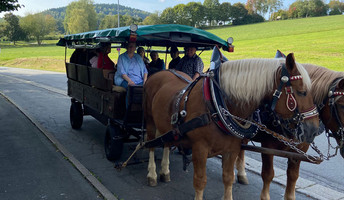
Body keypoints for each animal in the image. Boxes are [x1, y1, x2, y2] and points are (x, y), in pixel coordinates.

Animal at [143, 53, 320, 200]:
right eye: (302, 92)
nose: (313, 129)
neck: (216, 105)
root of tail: (160, 73)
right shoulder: (199, 149)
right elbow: (200, 181)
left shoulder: (232, 148)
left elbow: (228, 178)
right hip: (150, 120)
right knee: (150, 145)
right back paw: (152, 174)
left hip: (167, 127)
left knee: (166, 142)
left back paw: (165, 170)